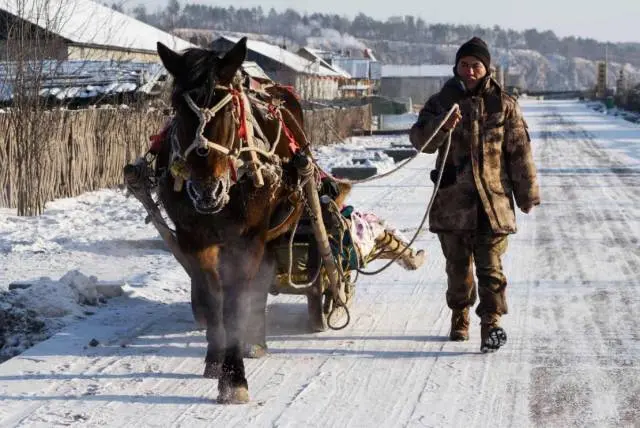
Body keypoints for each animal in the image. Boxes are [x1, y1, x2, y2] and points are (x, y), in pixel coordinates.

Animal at [153, 37, 352, 404]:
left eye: (228, 111)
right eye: (178, 111)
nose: (206, 190)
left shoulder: (247, 239)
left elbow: (235, 301)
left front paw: (234, 379)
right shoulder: (193, 237)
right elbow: (212, 296)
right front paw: (215, 357)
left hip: (273, 229)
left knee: (260, 280)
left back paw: (256, 340)